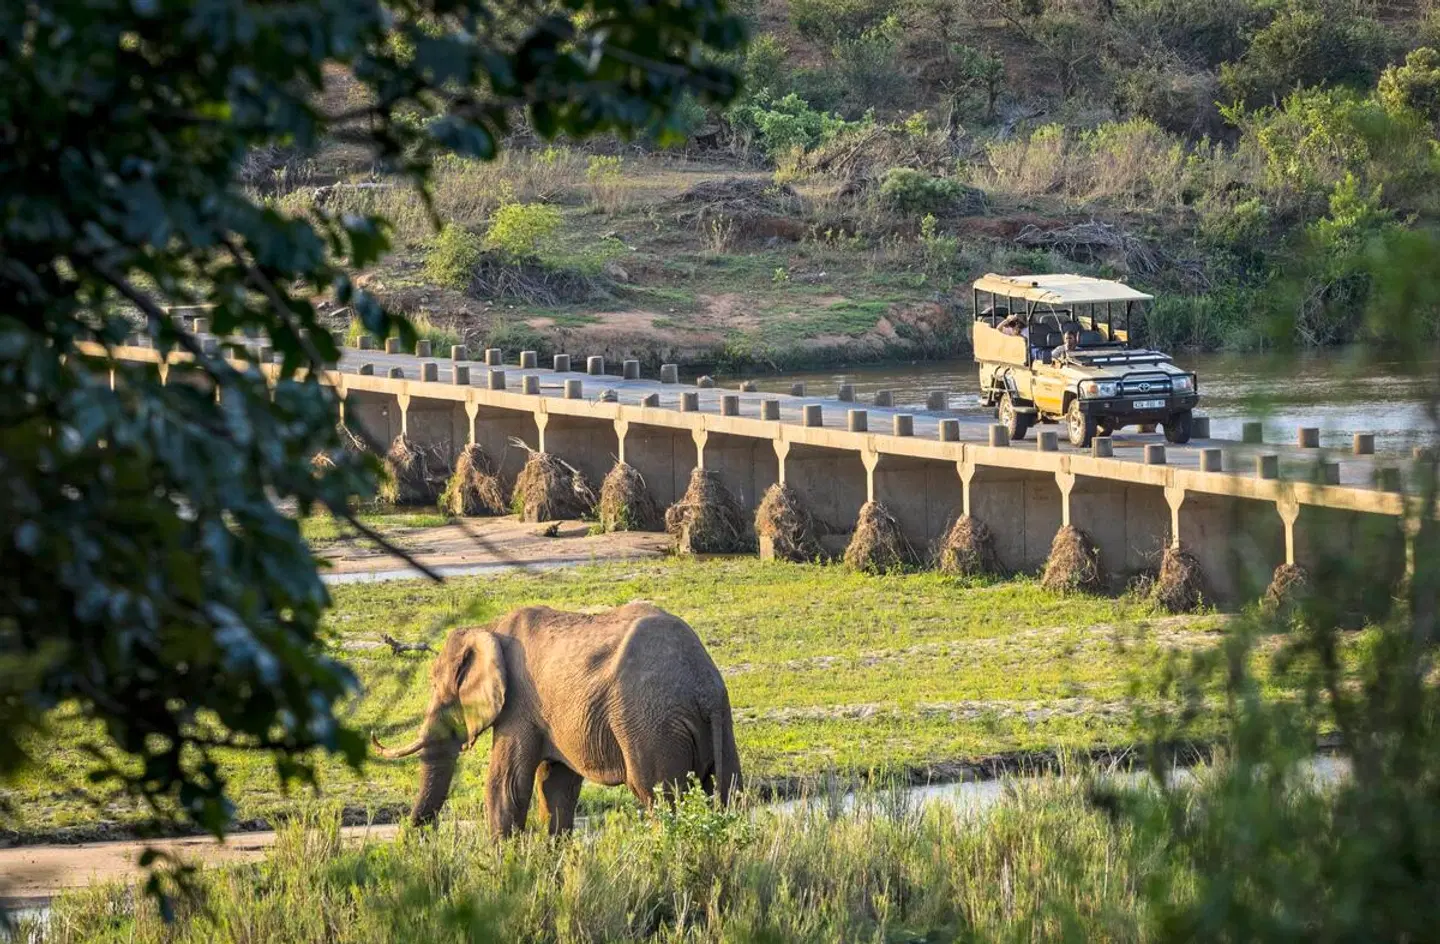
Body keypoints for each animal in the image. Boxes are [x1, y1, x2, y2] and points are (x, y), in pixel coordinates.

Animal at [372, 602, 742, 836]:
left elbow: (506, 785)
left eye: (436, 686)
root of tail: (702, 685)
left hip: (650, 723)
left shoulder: (519, 705)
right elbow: (555, 787)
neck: (489, 629)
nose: (412, 838)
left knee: (659, 797)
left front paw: (504, 869)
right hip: (718, 718)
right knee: (728, 790)